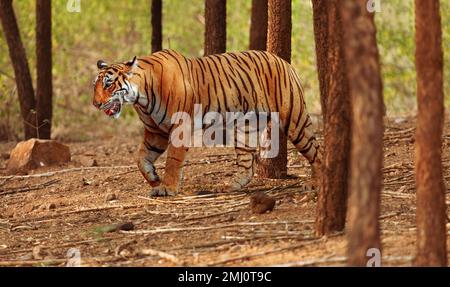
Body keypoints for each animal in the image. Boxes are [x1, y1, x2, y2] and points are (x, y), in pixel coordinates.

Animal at [93, 50, 322, 198]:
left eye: (108, 84)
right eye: (95, 85)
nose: (96, 104)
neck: (141, 98)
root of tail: (282, 60)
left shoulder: (179, 127)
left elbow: (173, 160)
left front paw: (167, 187)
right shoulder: (155, 131)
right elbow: (141, 159)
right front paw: (154, 179)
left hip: (294, 119)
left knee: (316, 150)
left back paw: (316, 183)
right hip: (246, 127)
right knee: (247, 163)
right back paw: (229, 186)